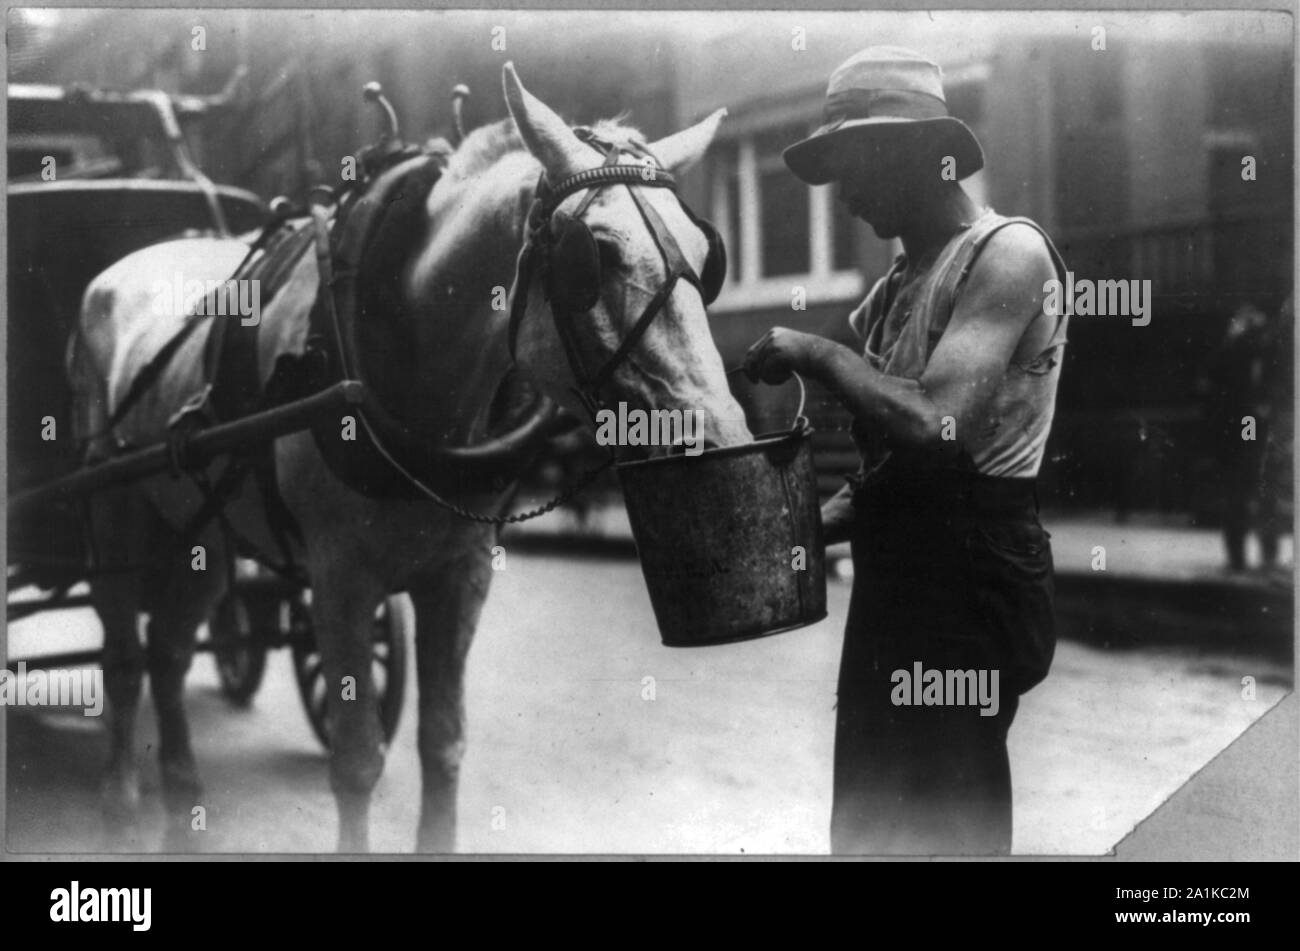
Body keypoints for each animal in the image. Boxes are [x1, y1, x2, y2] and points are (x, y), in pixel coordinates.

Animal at [68, 66, 754, 852]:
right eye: (592, 257)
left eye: (708, 255)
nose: (721, 440)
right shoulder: (339, 581)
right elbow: (357, 761)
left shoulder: (459, 575)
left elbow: (442, 742)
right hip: (111, 509)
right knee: (124, 657)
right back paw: (121, 802)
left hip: (204, 532)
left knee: (171, 648)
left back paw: (183, 798)